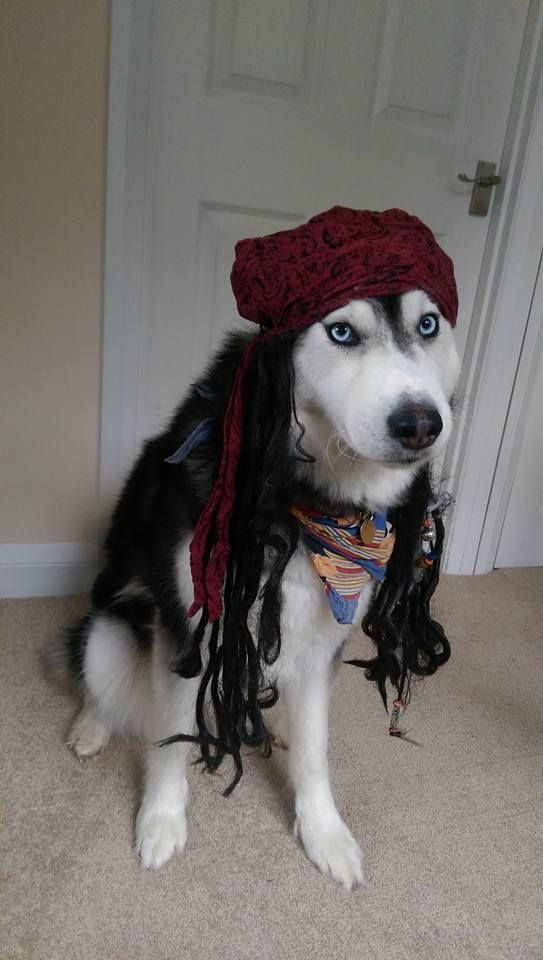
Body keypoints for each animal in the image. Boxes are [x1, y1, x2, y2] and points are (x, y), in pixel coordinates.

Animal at [58, 288, 460, 888]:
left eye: (429, 324)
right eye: (341, 332)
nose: (420, 424)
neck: (304, 502)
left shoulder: (324, 637)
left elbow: (316, 750)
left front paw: (324, 833)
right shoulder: (191, 631)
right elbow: (169, 737)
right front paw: (162, 821)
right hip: (111, 628)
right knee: (101, 681)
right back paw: (90, 726)